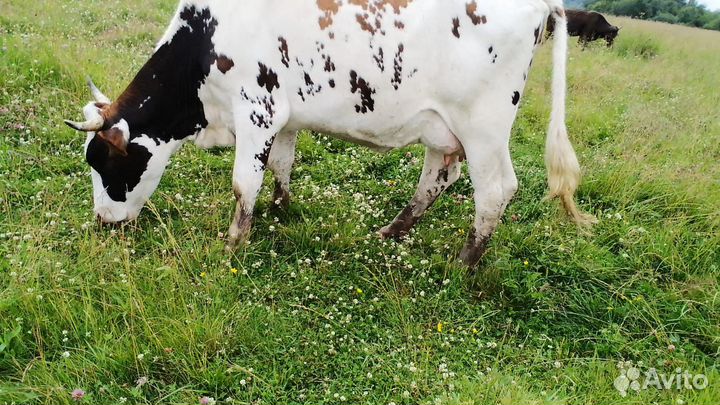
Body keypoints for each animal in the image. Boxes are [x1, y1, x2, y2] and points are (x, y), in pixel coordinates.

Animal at [64, 0, 595, 267]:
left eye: (105, 164)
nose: (103, 222)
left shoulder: (256, 109)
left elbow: (243, 184)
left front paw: (234, 243)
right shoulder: (283, 117)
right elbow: (281, 164)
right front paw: (281, 209)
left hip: (484, 126)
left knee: (496, 190)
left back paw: (464, 261)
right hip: (444, 128)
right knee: (439, 176)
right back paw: (392, 230)